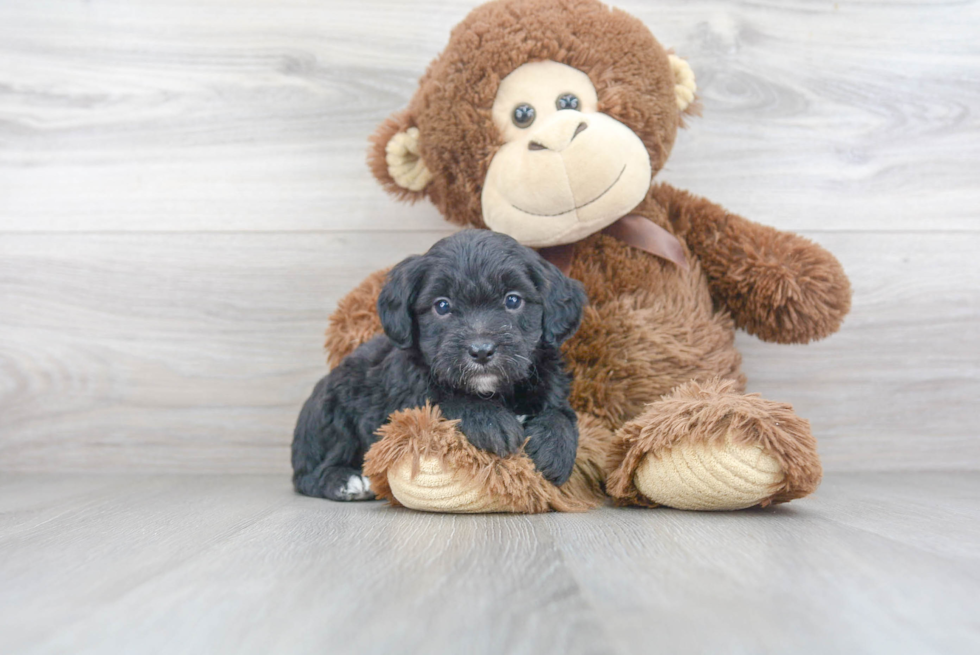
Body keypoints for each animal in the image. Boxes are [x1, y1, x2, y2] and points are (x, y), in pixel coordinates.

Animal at [288, 231, 584, 502]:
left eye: (513, 300)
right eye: (442, 305)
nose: (481, 351)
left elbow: (562, 414)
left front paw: (554, 447)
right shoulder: (405, 402)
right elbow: (442, 401)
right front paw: (489, 420)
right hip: (334, 409)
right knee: (310, 473)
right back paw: (345, 480)